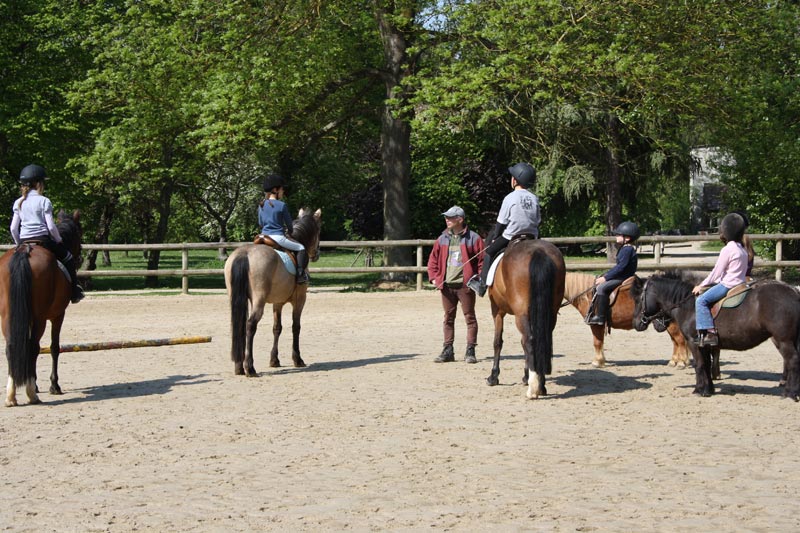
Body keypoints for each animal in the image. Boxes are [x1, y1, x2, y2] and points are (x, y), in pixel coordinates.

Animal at [0, 210, 82, 406]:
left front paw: (36, 383)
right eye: (79, 233)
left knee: (12, 346)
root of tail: (26, 251)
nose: (80, 258)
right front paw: (54, 385)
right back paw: (31, 394)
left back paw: (11, 395)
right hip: (39, 318)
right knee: (33, 347)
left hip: (8, 316)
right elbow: (54, 347)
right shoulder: (58, 315)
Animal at [222, 207, 322, 374]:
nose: (316, 254)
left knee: (239, 325)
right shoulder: (300, 300)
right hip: (259, 300)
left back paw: (239, 366)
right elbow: (296, 327)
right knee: (250, 325)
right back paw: (249, 367)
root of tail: (244, 253)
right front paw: (297, 359)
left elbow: (277, 328)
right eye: (318, 230)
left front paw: (274, 360)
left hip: (237, 298)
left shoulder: (278, 302)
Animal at [484, 239, 564, 396]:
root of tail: (539, 251)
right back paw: (541, 385)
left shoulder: (497, 311)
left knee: (530, 340)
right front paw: (526, 376)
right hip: (550, 313)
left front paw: (493, 376)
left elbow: (497, 342)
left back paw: (533, 389)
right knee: (540, 340)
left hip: (521, 314)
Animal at [632, 272, 800, 396]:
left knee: (792, 360)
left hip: (783, 340)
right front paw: (709, 388)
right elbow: (706, 364)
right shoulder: (704, 345)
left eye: (638, 299)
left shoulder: (693, 343)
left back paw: (790, 392)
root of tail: (793, 291)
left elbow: (699, 365)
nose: (636, 322)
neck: (689, 305)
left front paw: (700, 390)